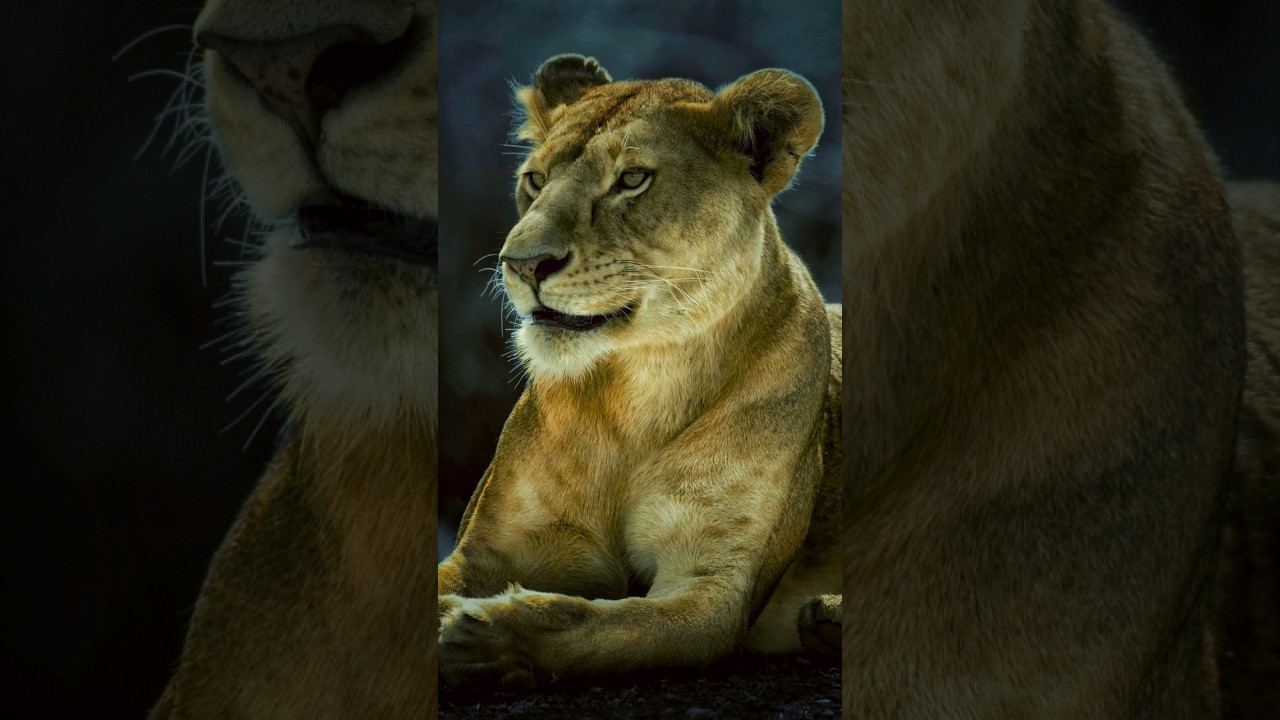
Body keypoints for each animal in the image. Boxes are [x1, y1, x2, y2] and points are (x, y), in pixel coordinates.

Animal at [435, 55, 842, 688]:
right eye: (535, 180)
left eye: (631, 180)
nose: (522, 264)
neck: (639, 392)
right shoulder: (484, 550)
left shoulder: (714, 592)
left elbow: (592, 624)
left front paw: (474, 631)